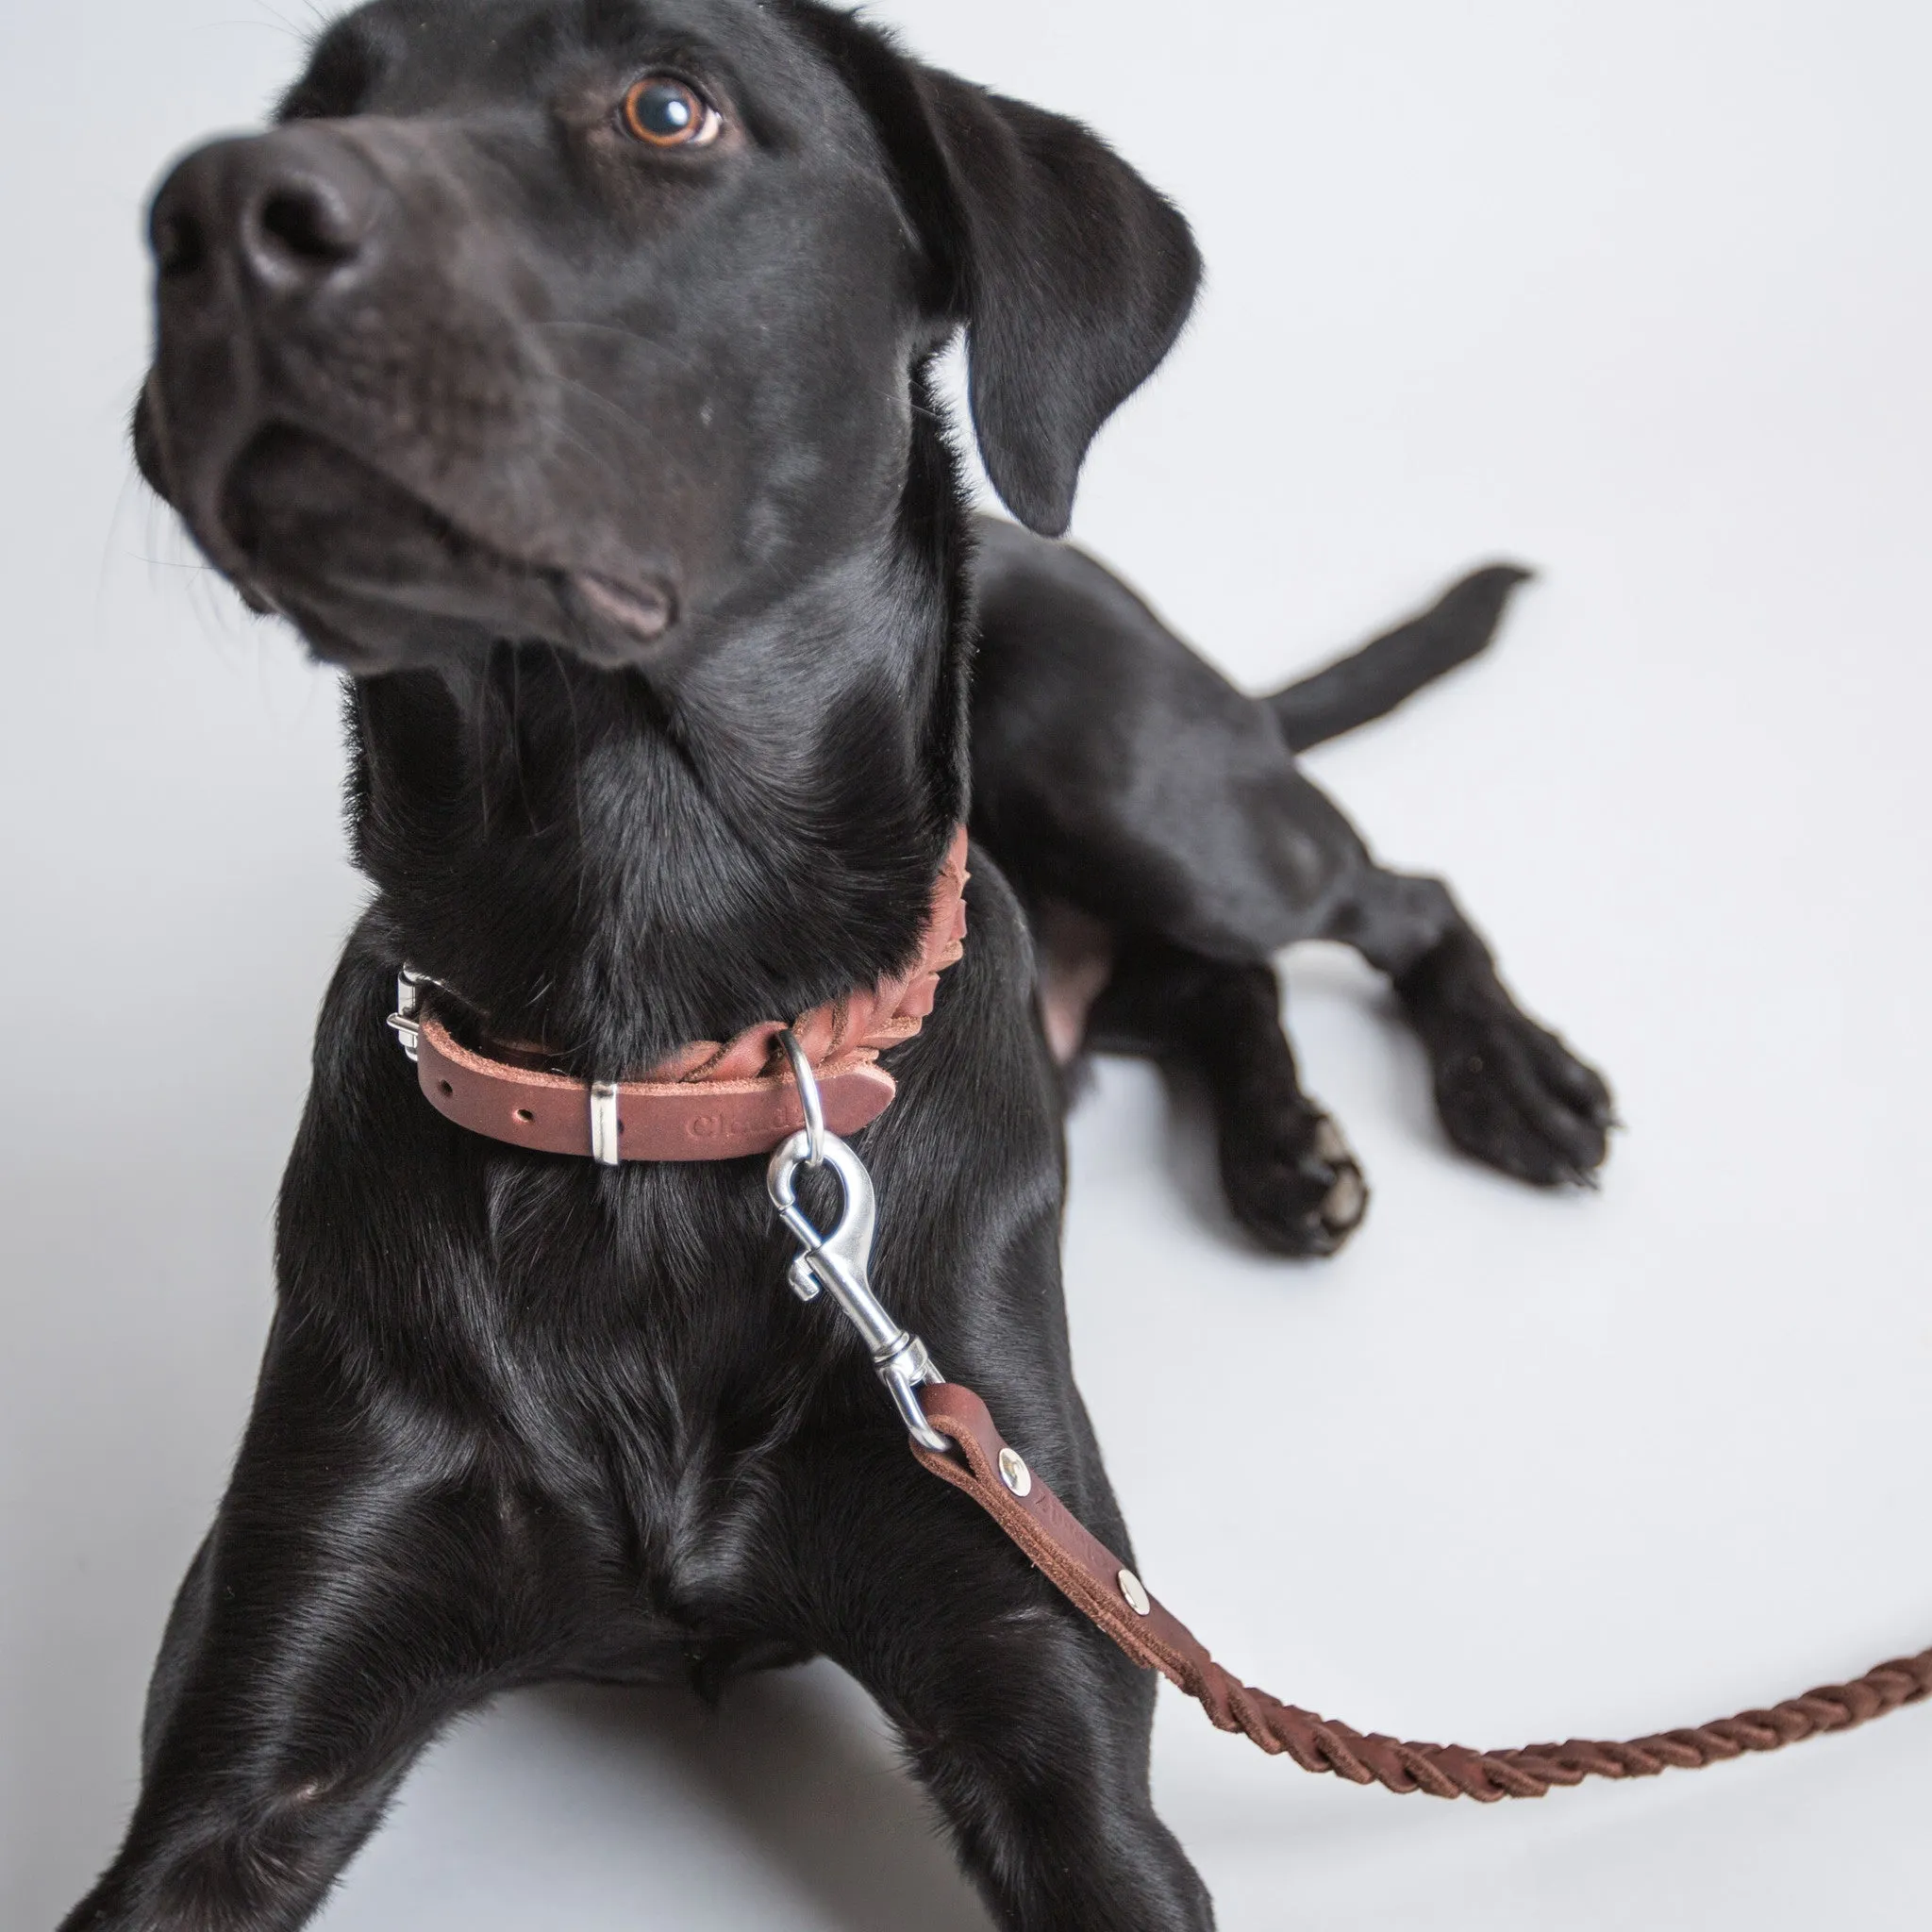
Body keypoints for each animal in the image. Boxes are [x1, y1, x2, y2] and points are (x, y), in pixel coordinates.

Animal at [64, 8, 1615, 1924]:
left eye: (668, 107)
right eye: (321, 100)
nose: (210, 208)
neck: (655, 1058)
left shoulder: (1048, 1696)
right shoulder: (248, 1751)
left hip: (1156, 783)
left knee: (1386, 897)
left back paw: (1511, 1087)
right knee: (1202, 987)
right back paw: (1281, 1156)